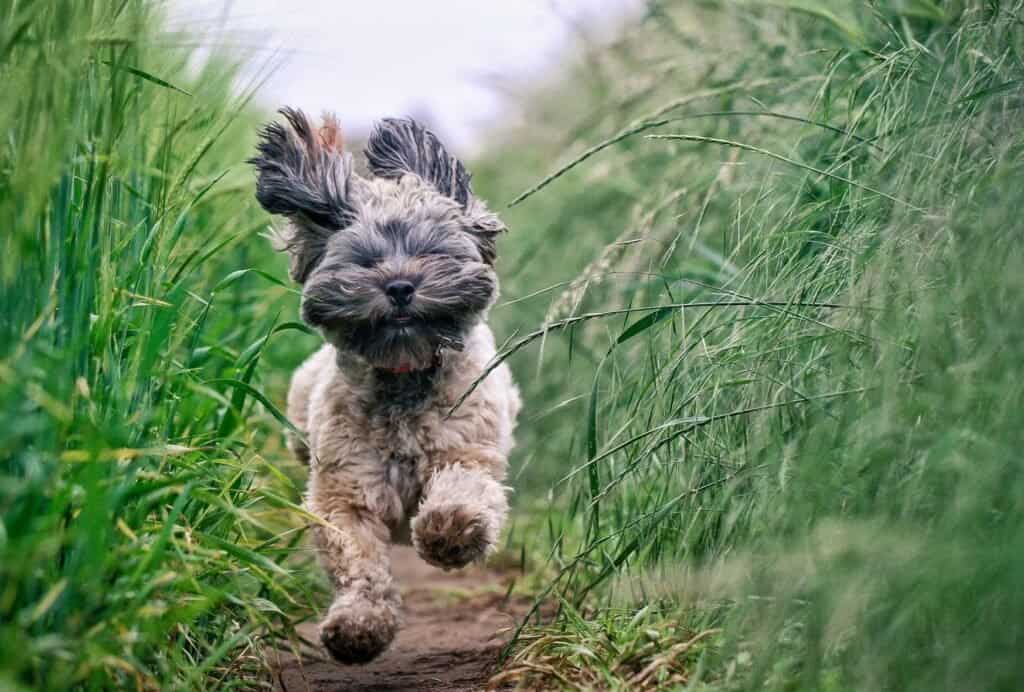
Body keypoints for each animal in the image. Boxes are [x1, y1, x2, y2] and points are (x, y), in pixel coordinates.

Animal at [248, 109, 520, 663]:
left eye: (430, 251)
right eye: (365, 260)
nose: (398, 286)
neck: (405, 377)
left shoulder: (468, 449)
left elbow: (463, 488)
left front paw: (448, 533)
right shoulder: (347, 489)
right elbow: (357, 558)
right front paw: (359, 624)